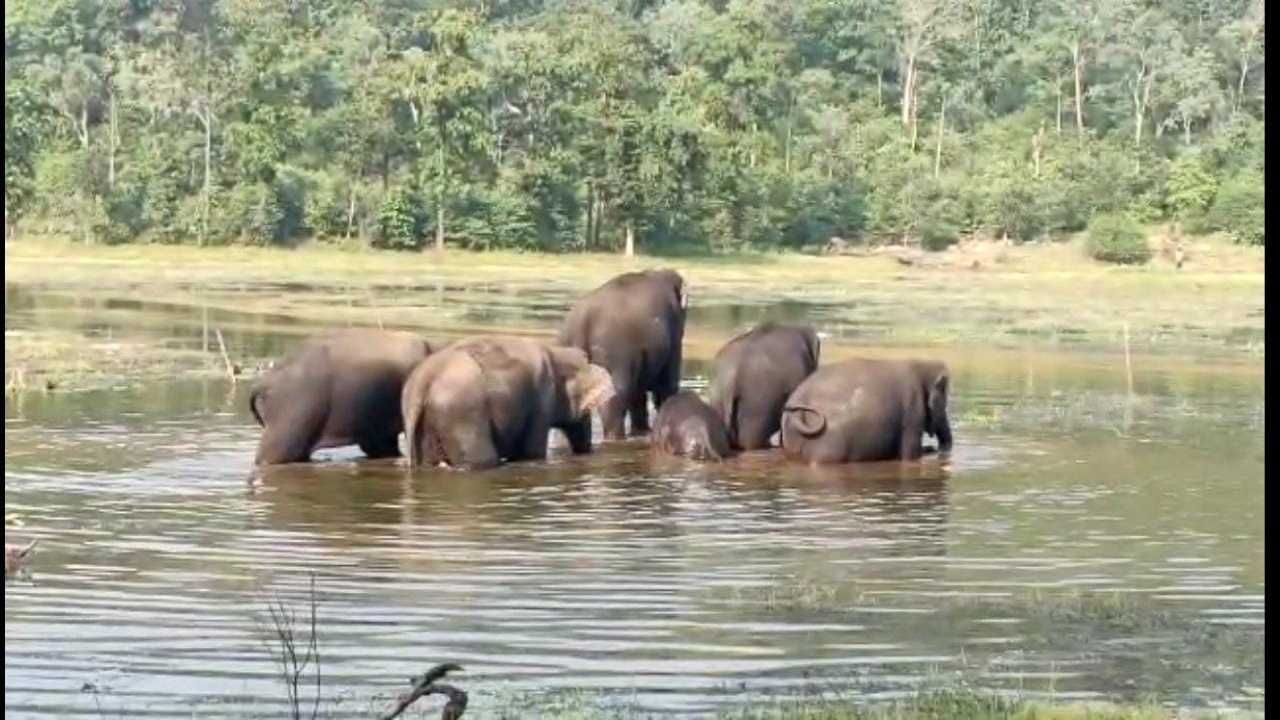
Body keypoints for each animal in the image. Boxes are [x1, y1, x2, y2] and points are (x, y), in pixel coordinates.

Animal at [401, 333, 616, 468]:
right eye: (587, 409)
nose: (587, 453)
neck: (557, 353)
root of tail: (423, 379)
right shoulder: (541, 397)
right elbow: (531, 452)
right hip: (462, 413)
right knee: (482, 459)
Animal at [555, 267, 686, 438]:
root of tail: (580, 322)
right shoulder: (674, 331)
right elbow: (667, 383)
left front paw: (642, 432)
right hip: (614, 353)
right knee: (615, 397)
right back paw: (615, 437)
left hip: (567, 349)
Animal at [778, 356, 952, 461]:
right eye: (944, 402)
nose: (939, 448)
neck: (921, 364)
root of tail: (798, 400)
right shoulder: (912, 412)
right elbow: (910, 454)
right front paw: (928, 449)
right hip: (827, 443)